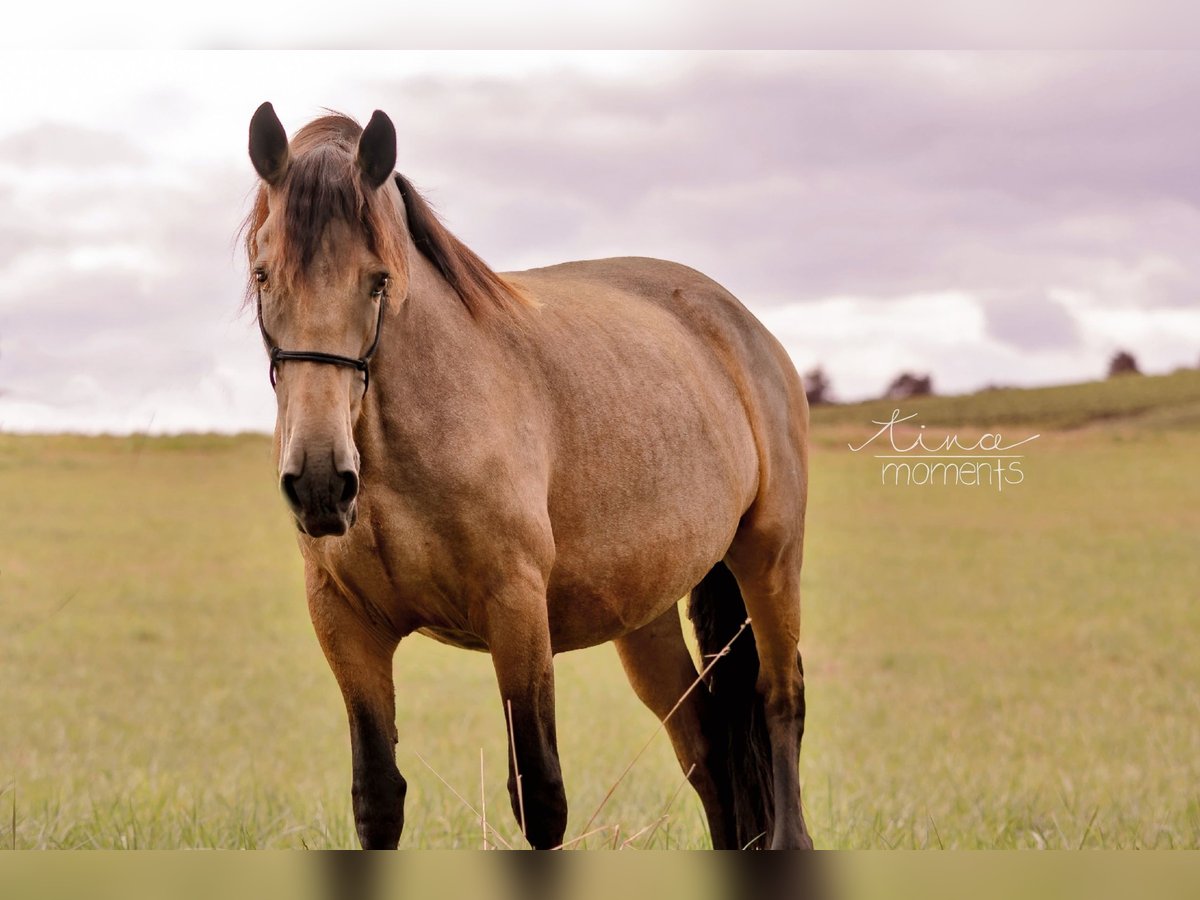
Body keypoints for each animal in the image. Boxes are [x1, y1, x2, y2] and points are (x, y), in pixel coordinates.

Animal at [238, 102, 811, 849]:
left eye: (379, 279)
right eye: (263, 275)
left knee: (780, 702)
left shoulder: (516, 612)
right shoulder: (345, 623)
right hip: (646, 614)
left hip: (768, 558)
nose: (319, 482)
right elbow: (378, 799)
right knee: (707, 744)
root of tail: (742, 325)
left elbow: (540, 795)